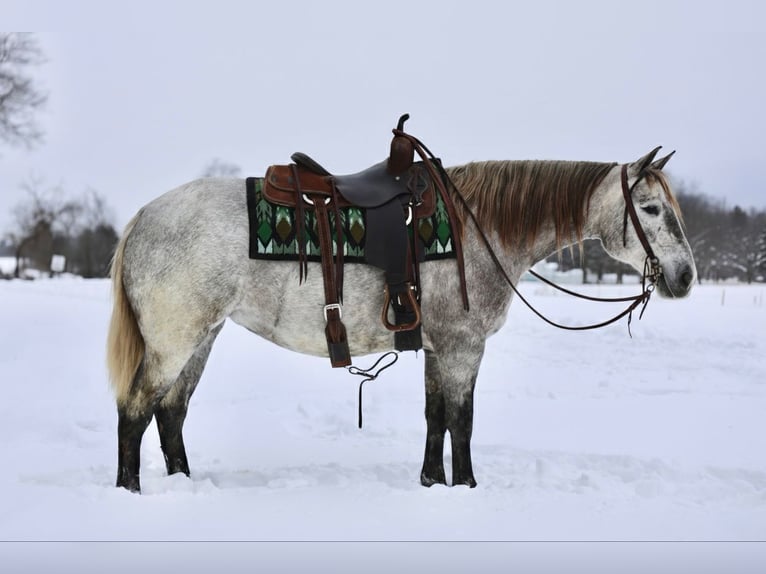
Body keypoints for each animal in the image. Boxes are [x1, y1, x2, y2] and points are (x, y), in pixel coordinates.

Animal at [107, 146, 696, 493]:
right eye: (650, 209)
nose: (685, 276)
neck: (476, 229)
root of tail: (144, 216)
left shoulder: (438, 349)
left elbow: (436, 418)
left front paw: (432, 483)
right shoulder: (463, 348)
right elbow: (462, 421)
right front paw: (467, 489)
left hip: (201, 337)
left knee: (172, 414)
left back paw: (185, 487)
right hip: (173, 341)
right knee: (136, 411)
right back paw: (131, 492)